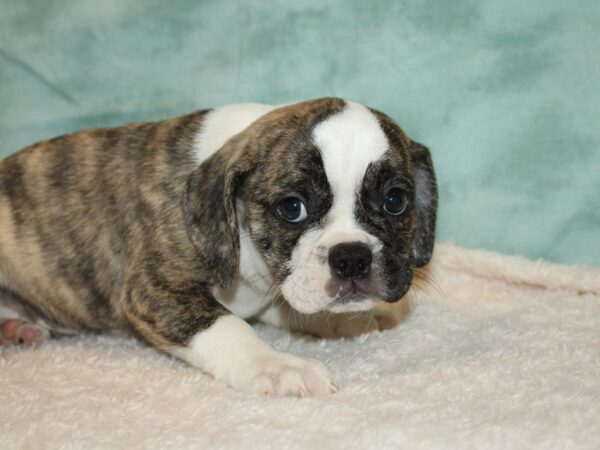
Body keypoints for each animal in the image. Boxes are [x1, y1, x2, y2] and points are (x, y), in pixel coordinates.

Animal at [2, 98, 438, 398]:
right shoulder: (155, 292)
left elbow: (290, 306)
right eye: (292, 208)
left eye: (395, 201)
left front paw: (345, 322)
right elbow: (228, 327)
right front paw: (277, 365)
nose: (351, 258)